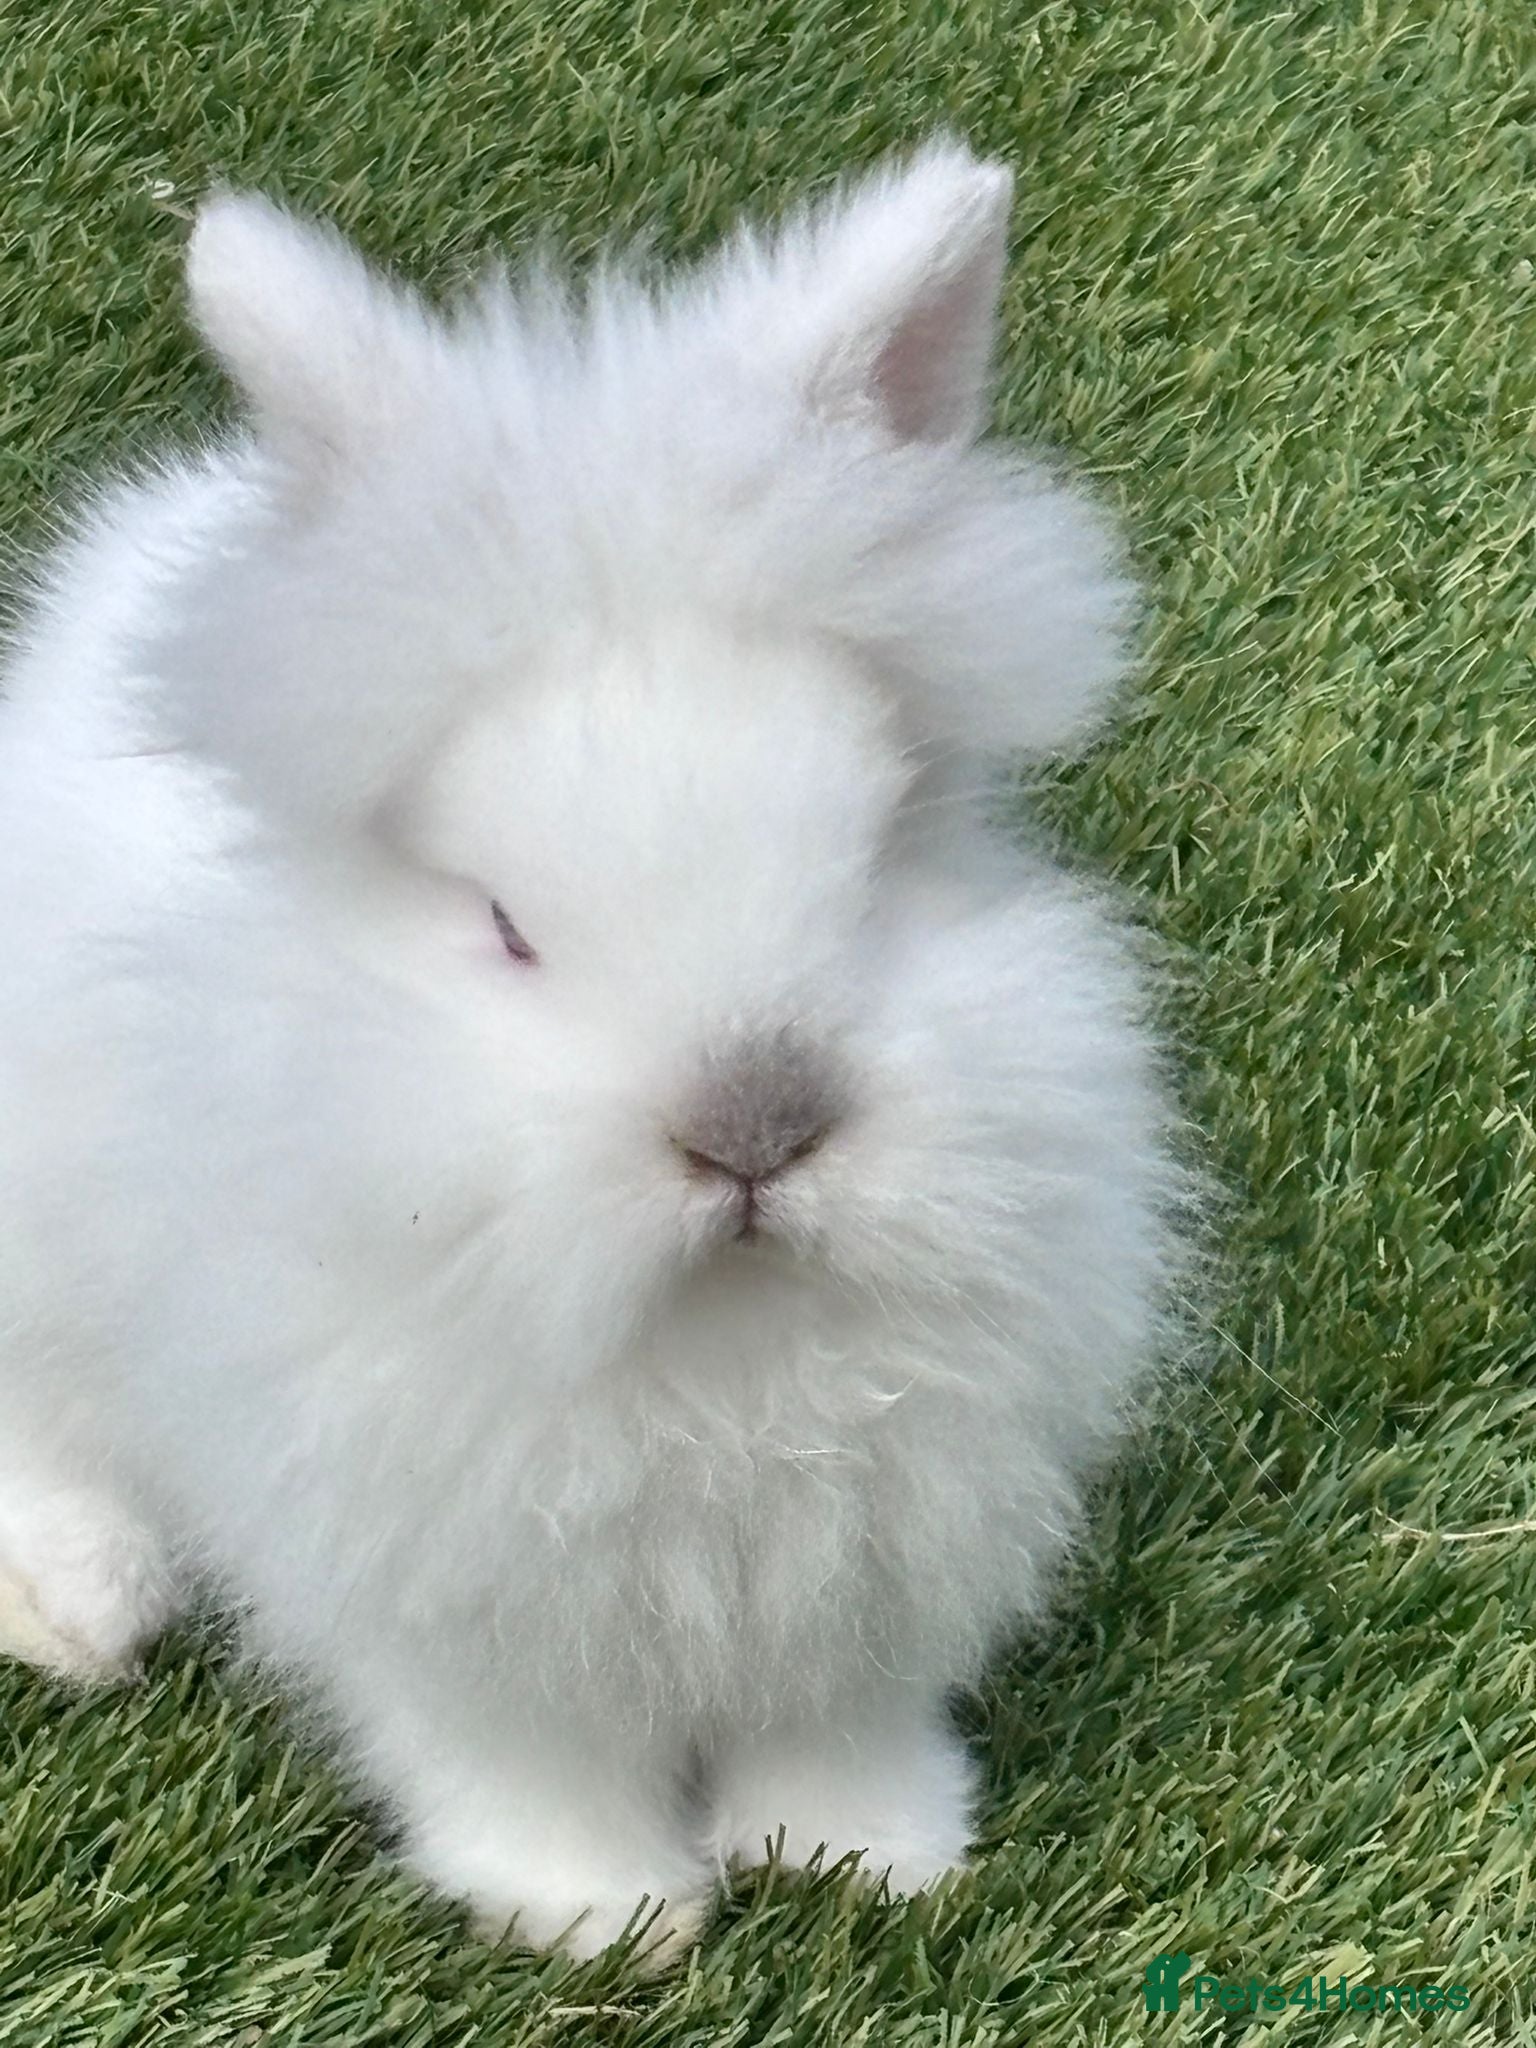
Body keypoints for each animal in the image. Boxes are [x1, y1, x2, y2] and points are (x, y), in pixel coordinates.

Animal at [0, 139, 1182, 1965]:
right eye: (506, 924)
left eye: (882, 857)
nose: (755, 1123)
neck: (718, 1346)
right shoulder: (441, 1584)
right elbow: (517, 1758)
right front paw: (605, 1916)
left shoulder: (868, 1562)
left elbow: (837, 1725)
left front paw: (869, 1858)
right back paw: (78, 1606)